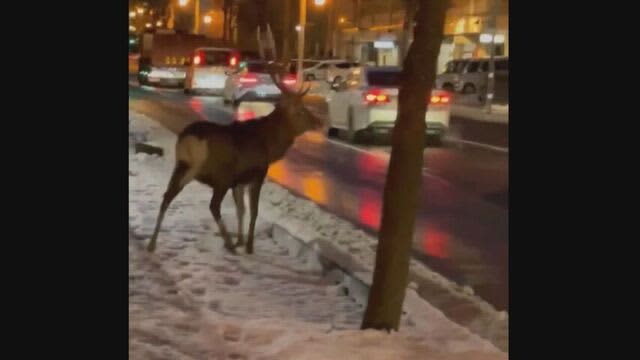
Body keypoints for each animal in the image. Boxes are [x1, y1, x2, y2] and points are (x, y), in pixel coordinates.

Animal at [147, 67, 322, 253]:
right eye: (301, 109)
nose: (318, 122)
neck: (269, 146)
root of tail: (189, 139)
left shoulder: (238, 181)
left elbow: (241, 210)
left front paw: (241, 240)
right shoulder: (257, 173)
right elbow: (253, 210)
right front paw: (249, 246)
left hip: (182, 165)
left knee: (167, 196)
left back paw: (152, 243)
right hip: (219, 174)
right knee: (213, 205)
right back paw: (228, 243)